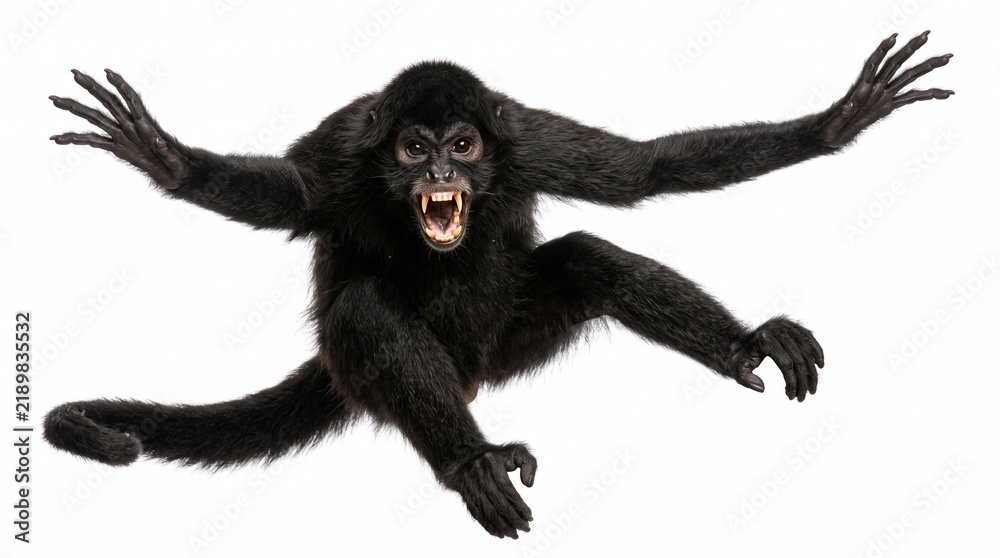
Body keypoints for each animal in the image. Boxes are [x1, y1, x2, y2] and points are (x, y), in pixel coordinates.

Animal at [43, 31, 951, 538]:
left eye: (464, 144)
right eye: (413, 148)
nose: (442, 172)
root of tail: (470, 375)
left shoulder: (524, 139)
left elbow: (641, 172)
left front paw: (834, 124)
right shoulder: (342, 152)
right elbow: (290, 197)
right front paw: (167, 158)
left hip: (511, 339)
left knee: (587, 256)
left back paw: (739, 347)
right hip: (389, 371)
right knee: (366, 310)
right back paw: (472, 461)